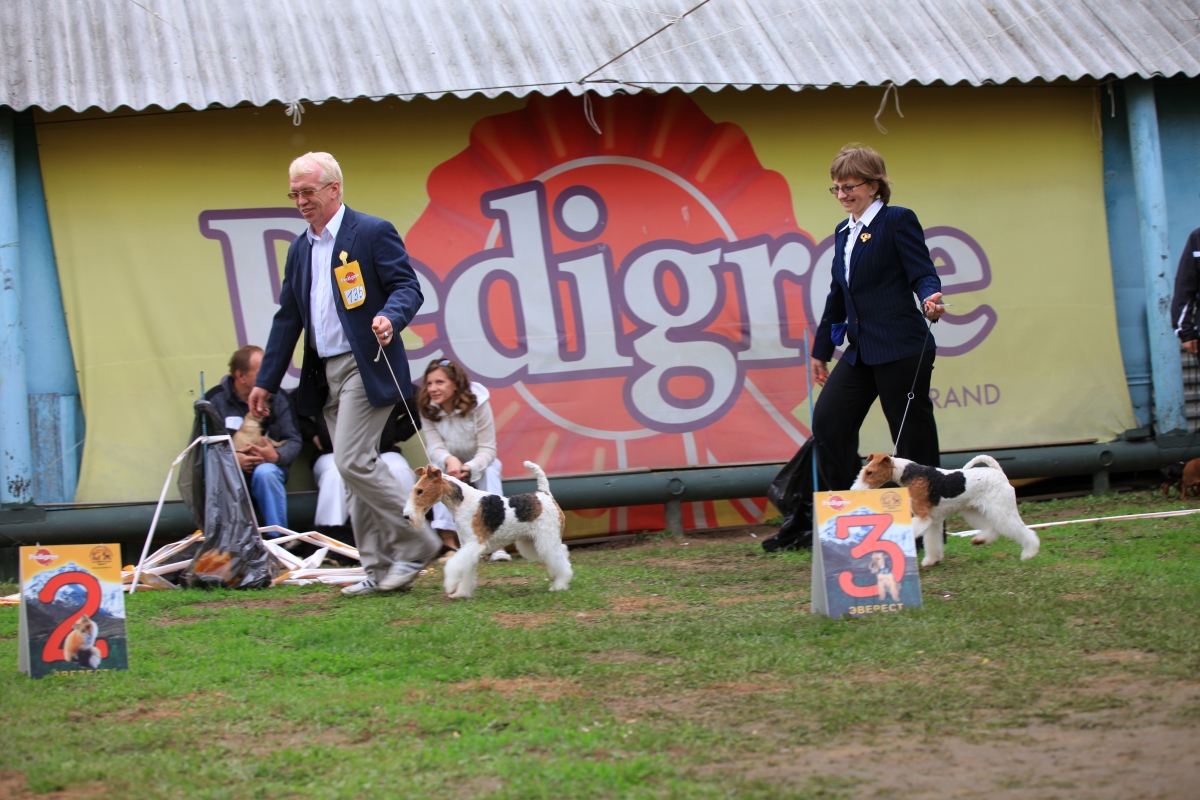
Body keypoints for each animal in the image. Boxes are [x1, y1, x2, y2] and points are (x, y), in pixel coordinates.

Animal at [403, 460, 571, 597]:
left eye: (420, 491)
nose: (406, 516)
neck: (462, 502)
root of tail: (544, 494)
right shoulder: (467, 545)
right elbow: (466, 570)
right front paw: (461, 593)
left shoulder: (474, 543)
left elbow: (453, 565)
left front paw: (450, 586)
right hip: (531, 543)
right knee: (561, 552)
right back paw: (555, 576)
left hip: (546, 538)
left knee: (561, 560)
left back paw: (560, 584)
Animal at [854, 453, 1041, 566]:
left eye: (870, 472)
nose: (855, 491)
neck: (908, 473)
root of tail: (998, 472)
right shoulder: (932, 520)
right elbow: (932, 542)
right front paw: (931, 561)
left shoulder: (923, 517)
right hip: (974, 510)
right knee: (994, 528)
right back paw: (980, 540)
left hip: (1000, 509)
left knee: (1023, 531)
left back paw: (1029, 553)